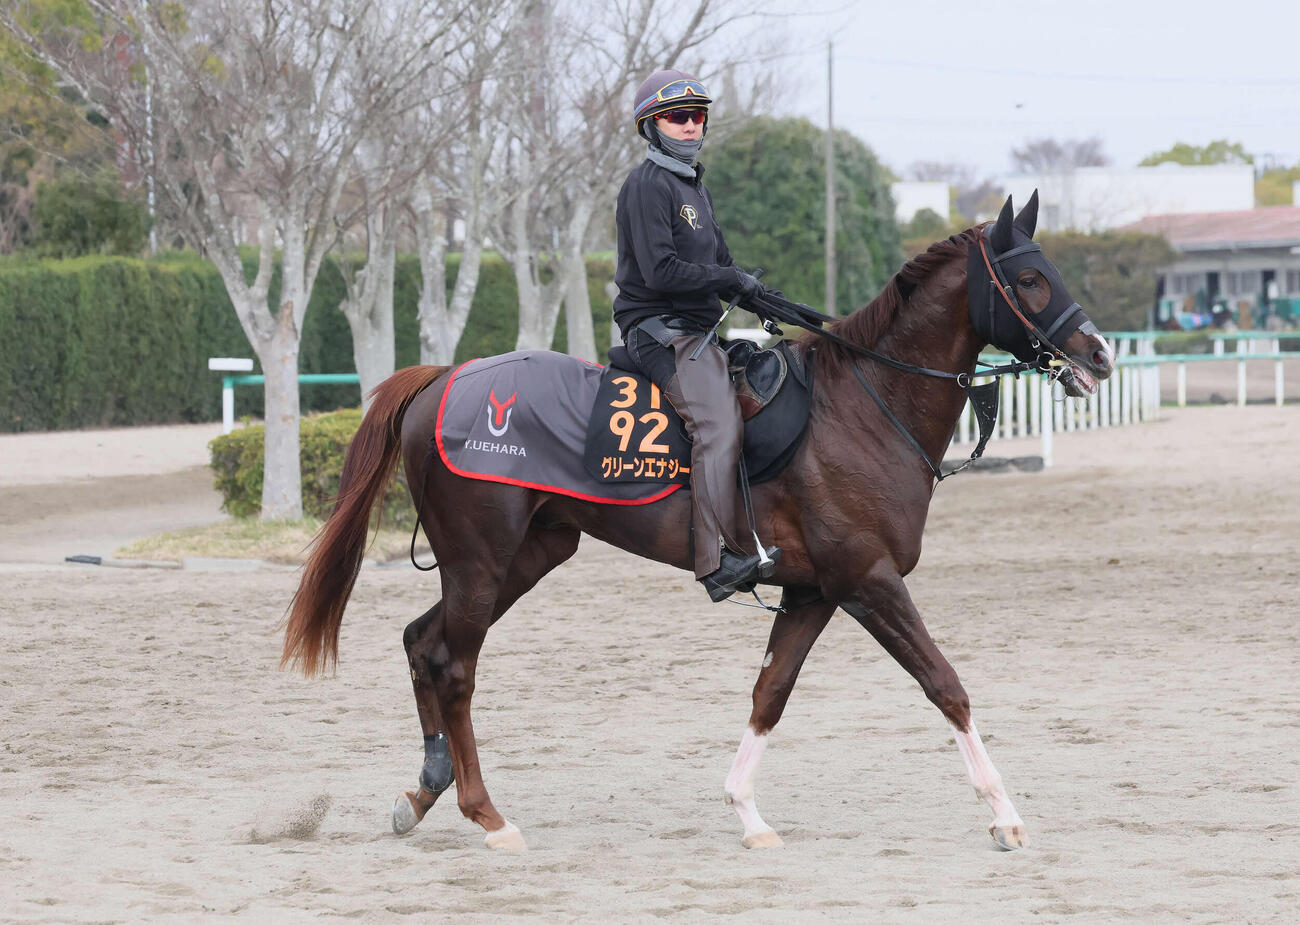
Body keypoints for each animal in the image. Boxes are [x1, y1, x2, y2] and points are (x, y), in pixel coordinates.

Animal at [282, 192, 1115, 851]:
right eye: (1031, 278)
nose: (1101, 353)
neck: (862, 405)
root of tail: (442, 379)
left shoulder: (815, 591)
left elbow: (770, 693)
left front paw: (747, 812)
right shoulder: (868, 579)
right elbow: (946, 684)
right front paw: (1004, 813)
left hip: (524, 556)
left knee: (423, 644)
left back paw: (422, 791)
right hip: (480, 563)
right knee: (454, 667)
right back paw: (487, 814)